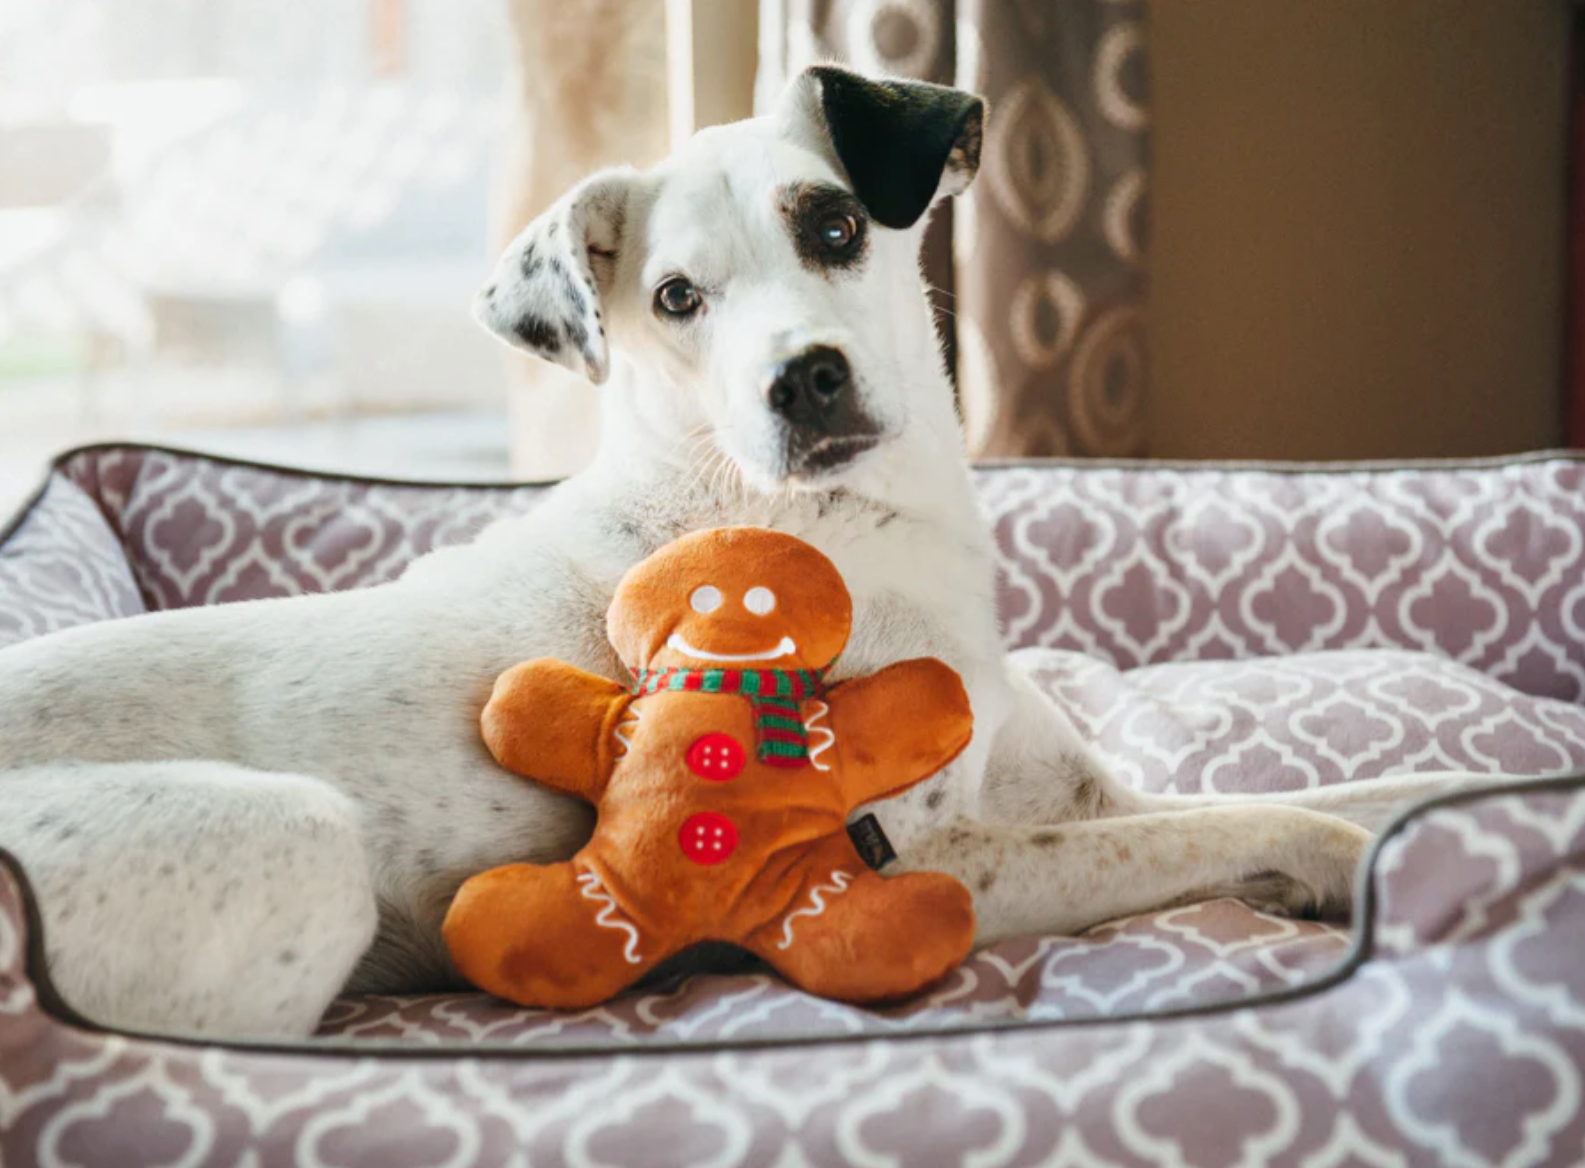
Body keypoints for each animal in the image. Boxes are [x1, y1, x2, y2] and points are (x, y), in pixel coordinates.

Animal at [0, 68, 1470, 1033]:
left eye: (833, 223)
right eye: (673, 299)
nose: (801, 382)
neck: (847, 527)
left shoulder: (1082, 796)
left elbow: (1368, 789)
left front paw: (1460, 809)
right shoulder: (943, 865)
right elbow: (1267, 818)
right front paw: (1344, 872)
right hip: (297, 841)